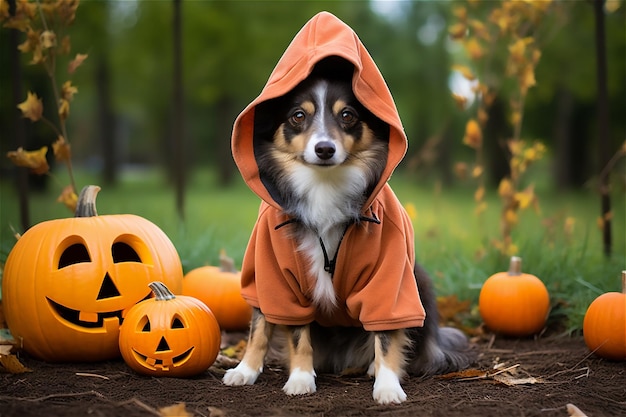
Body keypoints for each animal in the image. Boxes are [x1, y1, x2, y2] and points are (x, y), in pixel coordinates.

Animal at [222, 58, 470, 404]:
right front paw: (295, 377)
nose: (324, 149)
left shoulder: (389, 280)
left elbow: (387, 335)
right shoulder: (272, 277)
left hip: (417, 279)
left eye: (348, 115)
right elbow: (283, 332)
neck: (323, 186)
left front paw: (388, 385)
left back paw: (374, 367)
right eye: (298, 116)